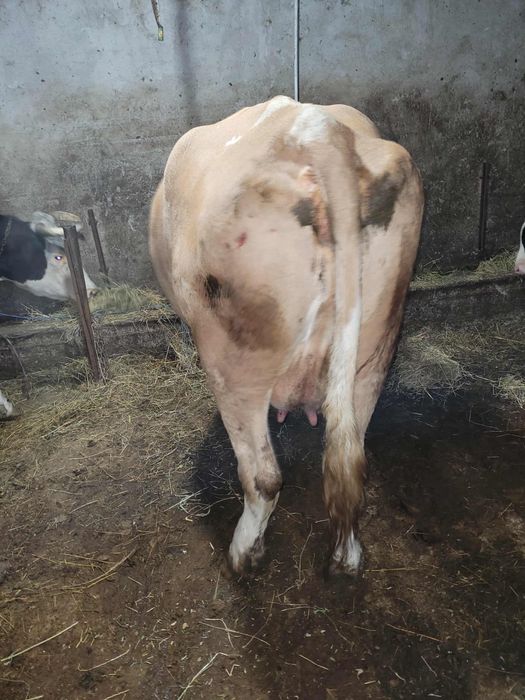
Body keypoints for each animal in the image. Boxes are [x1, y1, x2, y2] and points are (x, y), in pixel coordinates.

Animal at [149, 96, 424, 576]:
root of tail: (320, 132)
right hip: (377, 342)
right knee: (351, 456)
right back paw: (347, 557)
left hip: (237, 355)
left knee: (264, 477)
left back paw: (243, 554)